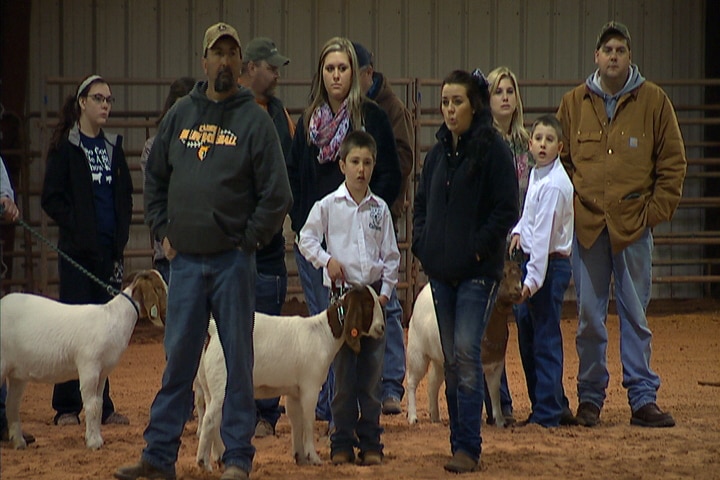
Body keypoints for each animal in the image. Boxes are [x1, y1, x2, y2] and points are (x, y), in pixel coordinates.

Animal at [0, 270, 166, 450]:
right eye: (159, 288)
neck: (113, 318)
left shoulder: (102, 373)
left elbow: (98, 405)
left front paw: (97, 438)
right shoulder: (89, 367)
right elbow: (92, 406)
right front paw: (93, 443)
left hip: (17, 373)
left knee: (12, 404)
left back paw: (19, 442)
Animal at [404, 264, 524, 426]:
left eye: (520, 274)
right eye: (503, 274)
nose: (519, 290)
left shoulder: (497, 364)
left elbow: (495, 393)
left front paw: (499, 421)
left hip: (440, 360)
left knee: (432, 383)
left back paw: (435, 416)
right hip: (417, 353)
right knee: (411, 381)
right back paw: (412, 417)